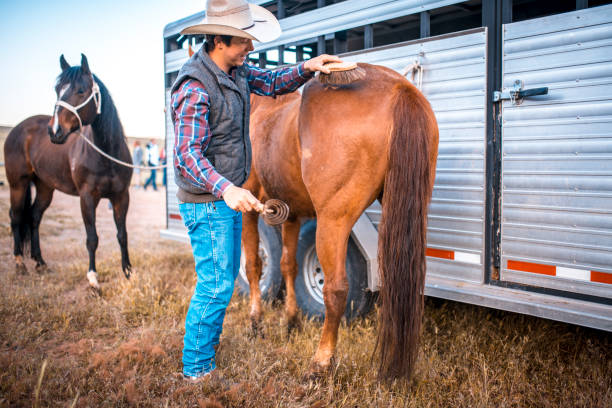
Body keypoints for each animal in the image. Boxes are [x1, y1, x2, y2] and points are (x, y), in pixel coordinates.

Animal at [3, 53, 133, 290]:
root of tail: (18, 129)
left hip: (45, 187)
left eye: (81, 90)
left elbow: (122, 235)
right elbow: (92, 238)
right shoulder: (87, 198)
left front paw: (128, 272)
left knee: (34, 217)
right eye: (57, 90)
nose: (54, 131)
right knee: (16, 217)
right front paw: (93, 278)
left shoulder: (121, 196)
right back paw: (20, 263)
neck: (106, 154)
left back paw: (40, 262)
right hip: (18, 184)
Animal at [244, 63, 440, 380]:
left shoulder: (248, 209)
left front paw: (255, 323)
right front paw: (291, 321)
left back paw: (320, 362)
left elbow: (253, 265)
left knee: (335, 289)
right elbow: (288, 265)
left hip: (333, 221)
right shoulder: (292, 214)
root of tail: (401, 89)